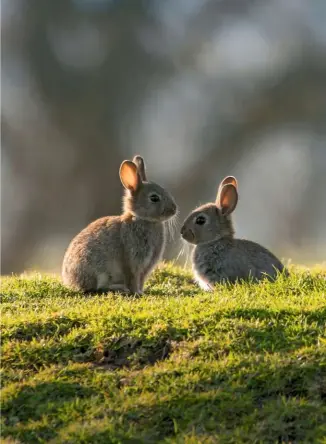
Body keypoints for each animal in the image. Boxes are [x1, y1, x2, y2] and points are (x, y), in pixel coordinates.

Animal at [62, 155, 177, 294]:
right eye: (154, 198)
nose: (174, 209)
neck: (142, 219)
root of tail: (69, 280)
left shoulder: (145, 267)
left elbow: (141, 280)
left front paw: (141, 291)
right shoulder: (132, 261)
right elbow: (133, 278)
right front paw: (136, 293)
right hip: (96, 269)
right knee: (96, 288)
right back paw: (120, 289)